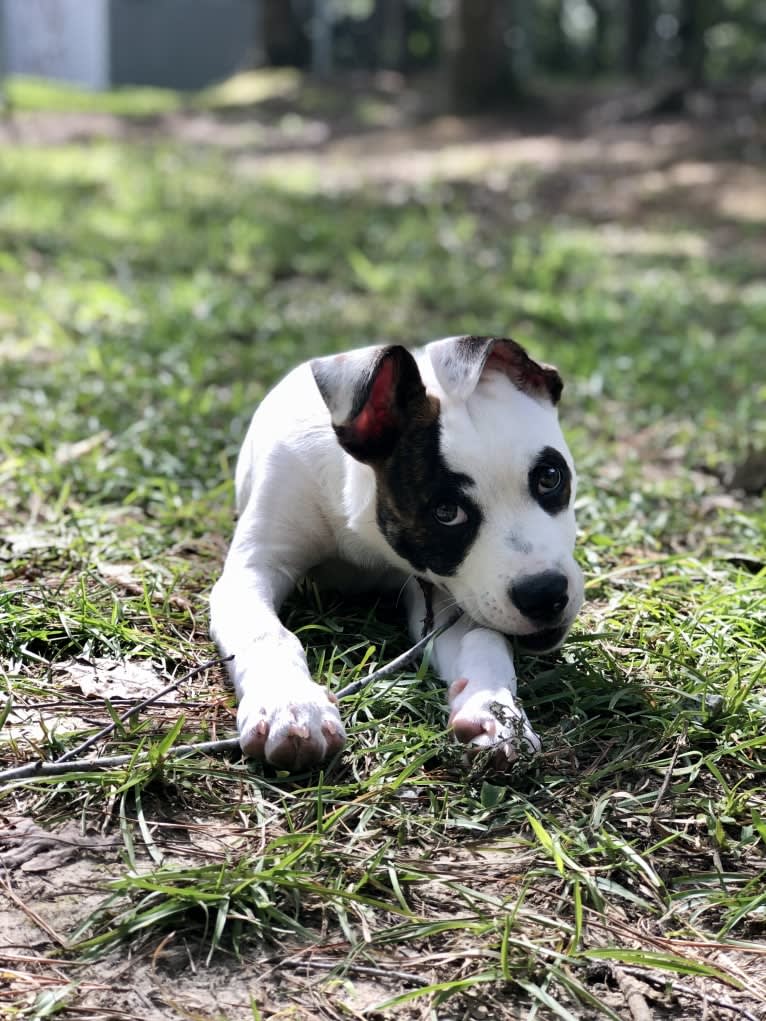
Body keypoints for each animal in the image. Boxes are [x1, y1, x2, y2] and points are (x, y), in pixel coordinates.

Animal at [210, 334, 580, 767]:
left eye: (550, 478)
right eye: (446, 513)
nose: (544, 594)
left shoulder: (445, 595)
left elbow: (483, 638)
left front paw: (493, 710)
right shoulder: (253, 569)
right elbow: (266, 631)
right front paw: (292, 705)